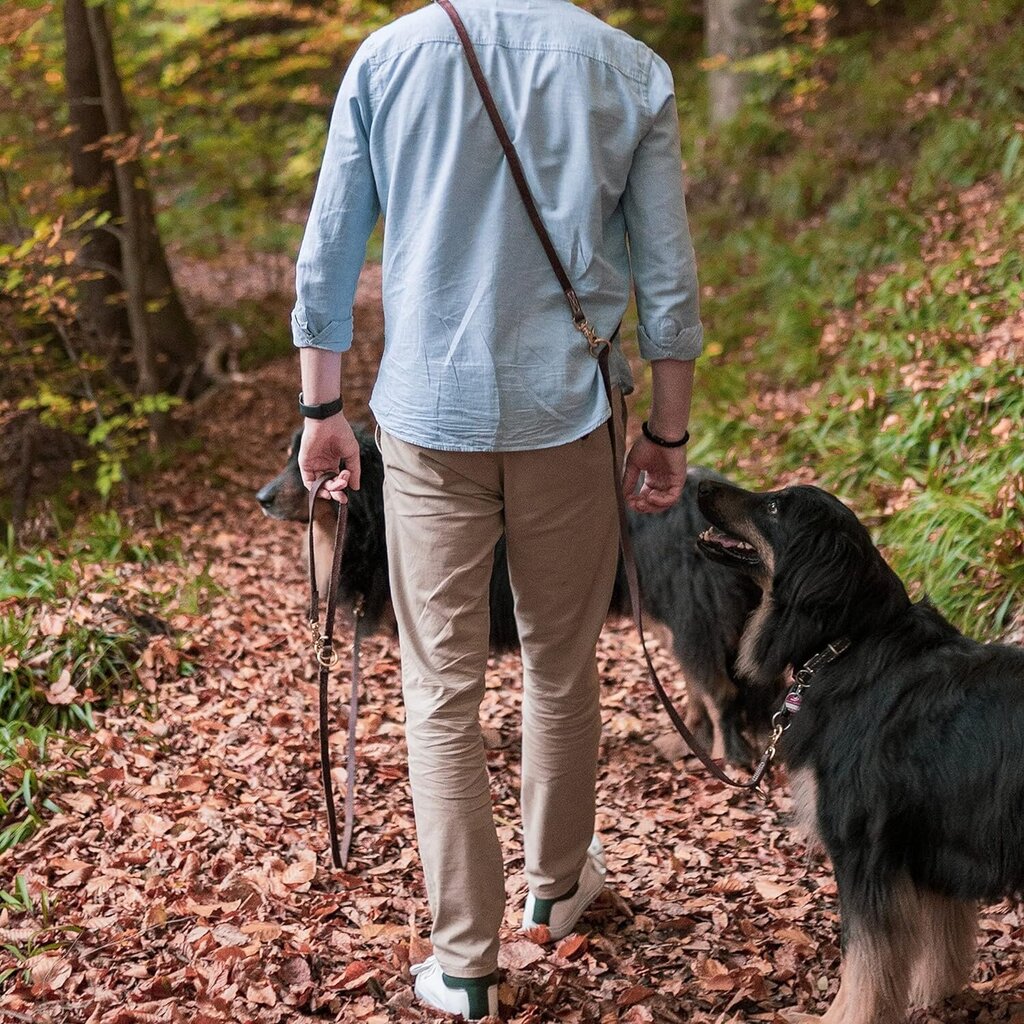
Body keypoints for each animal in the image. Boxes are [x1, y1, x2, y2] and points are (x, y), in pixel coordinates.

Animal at [258, 423, 774, 761]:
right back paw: (688, 742)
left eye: (317, 467)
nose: (261, 498)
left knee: (717, 687)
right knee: (696, 680)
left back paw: (727, 758)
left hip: (688, 608)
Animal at [696, 479, 1024, 1024]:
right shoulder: (926, 851)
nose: (698, 484)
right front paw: (933, 997)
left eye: (773, 506)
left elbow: (862, 961)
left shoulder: (863, 852)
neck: (847, 644)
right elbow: (937, 944)